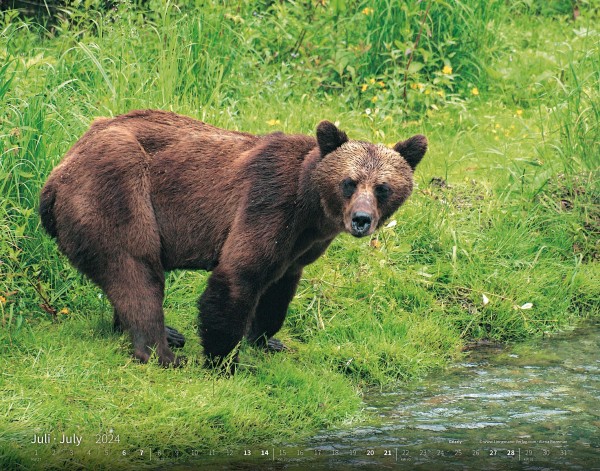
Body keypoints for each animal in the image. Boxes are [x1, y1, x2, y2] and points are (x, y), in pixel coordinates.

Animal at [38, 110, 426, 372]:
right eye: (349, 181)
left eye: (382, 187)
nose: (361, 220)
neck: (311, 207)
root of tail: (56, 175)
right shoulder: (269, 203)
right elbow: (239, 275)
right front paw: (224, 360)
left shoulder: (300, 245)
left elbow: (279, 289)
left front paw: (268, 340)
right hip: (117, 189)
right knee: (135, 268)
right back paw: (163, 351)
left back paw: (161, 334)